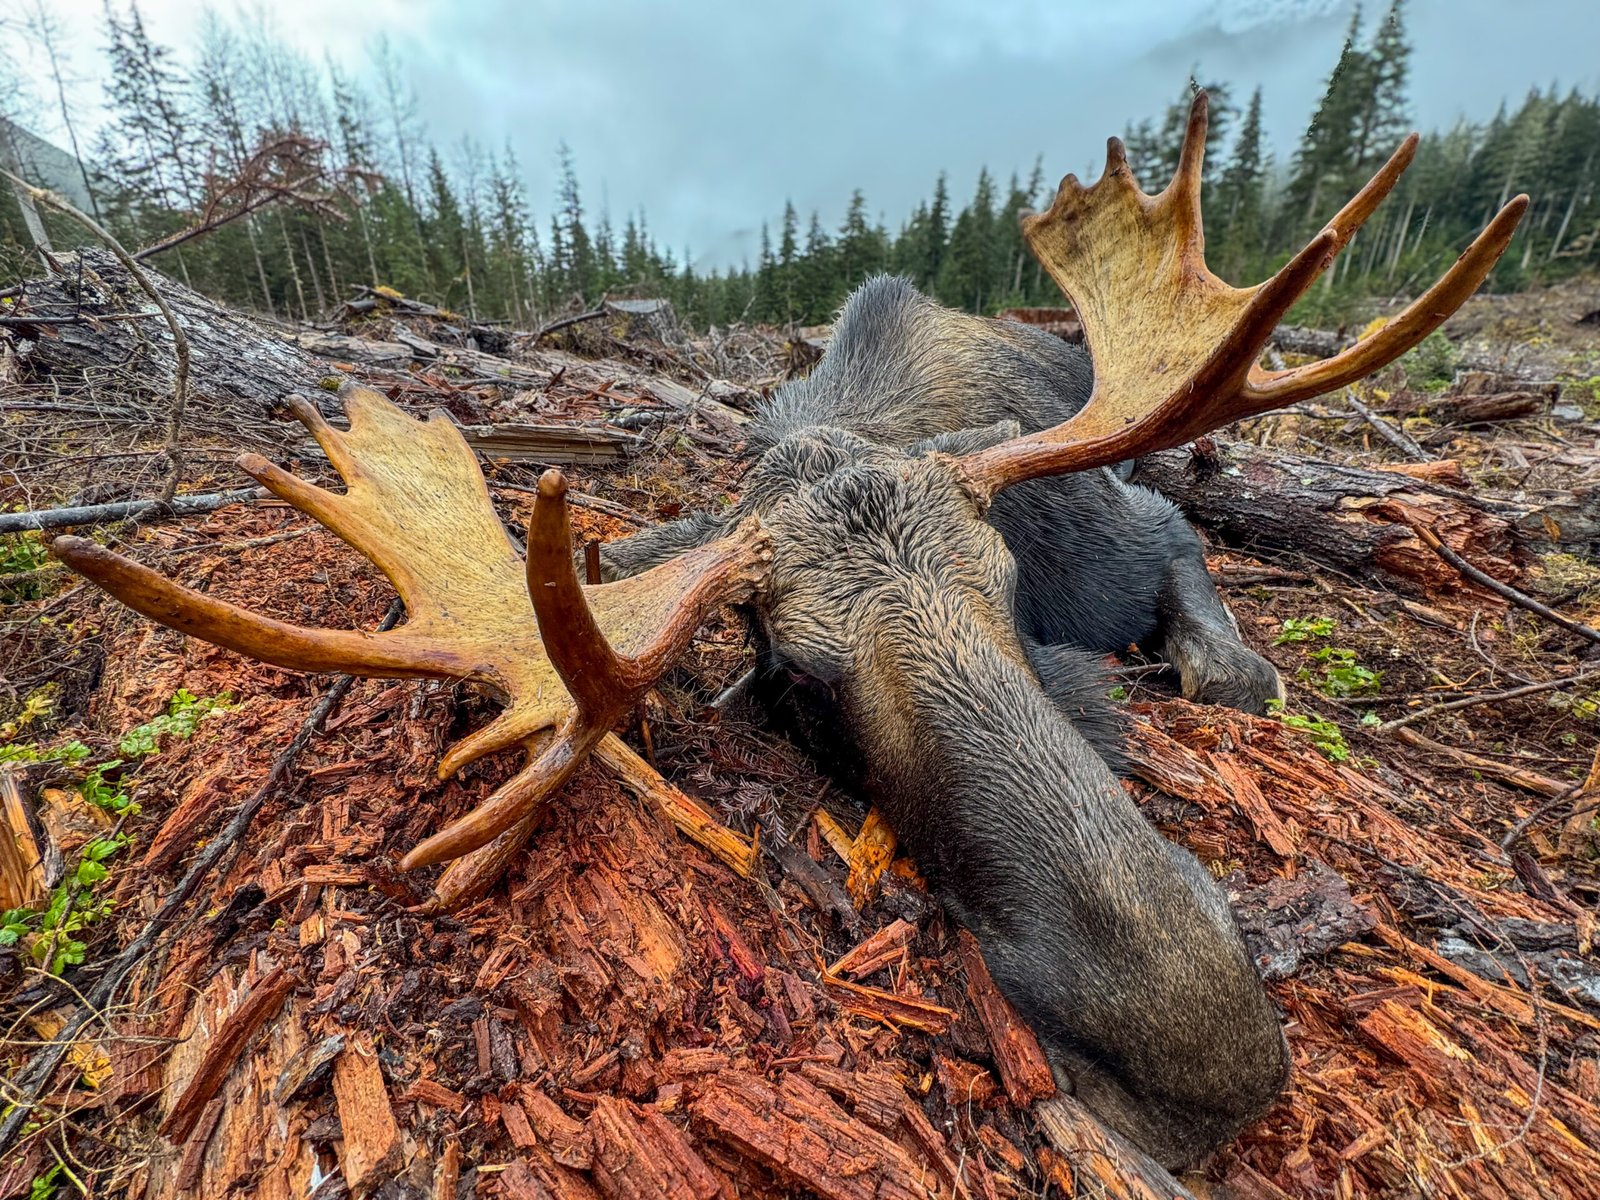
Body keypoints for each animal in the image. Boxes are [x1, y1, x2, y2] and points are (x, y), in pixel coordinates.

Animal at [51, 94, 1526, 1167]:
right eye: (796, 674)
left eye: (1003, 585)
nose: (1197, 1042)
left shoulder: (1111, 545)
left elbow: (1198, 592)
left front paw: (1230, 669)